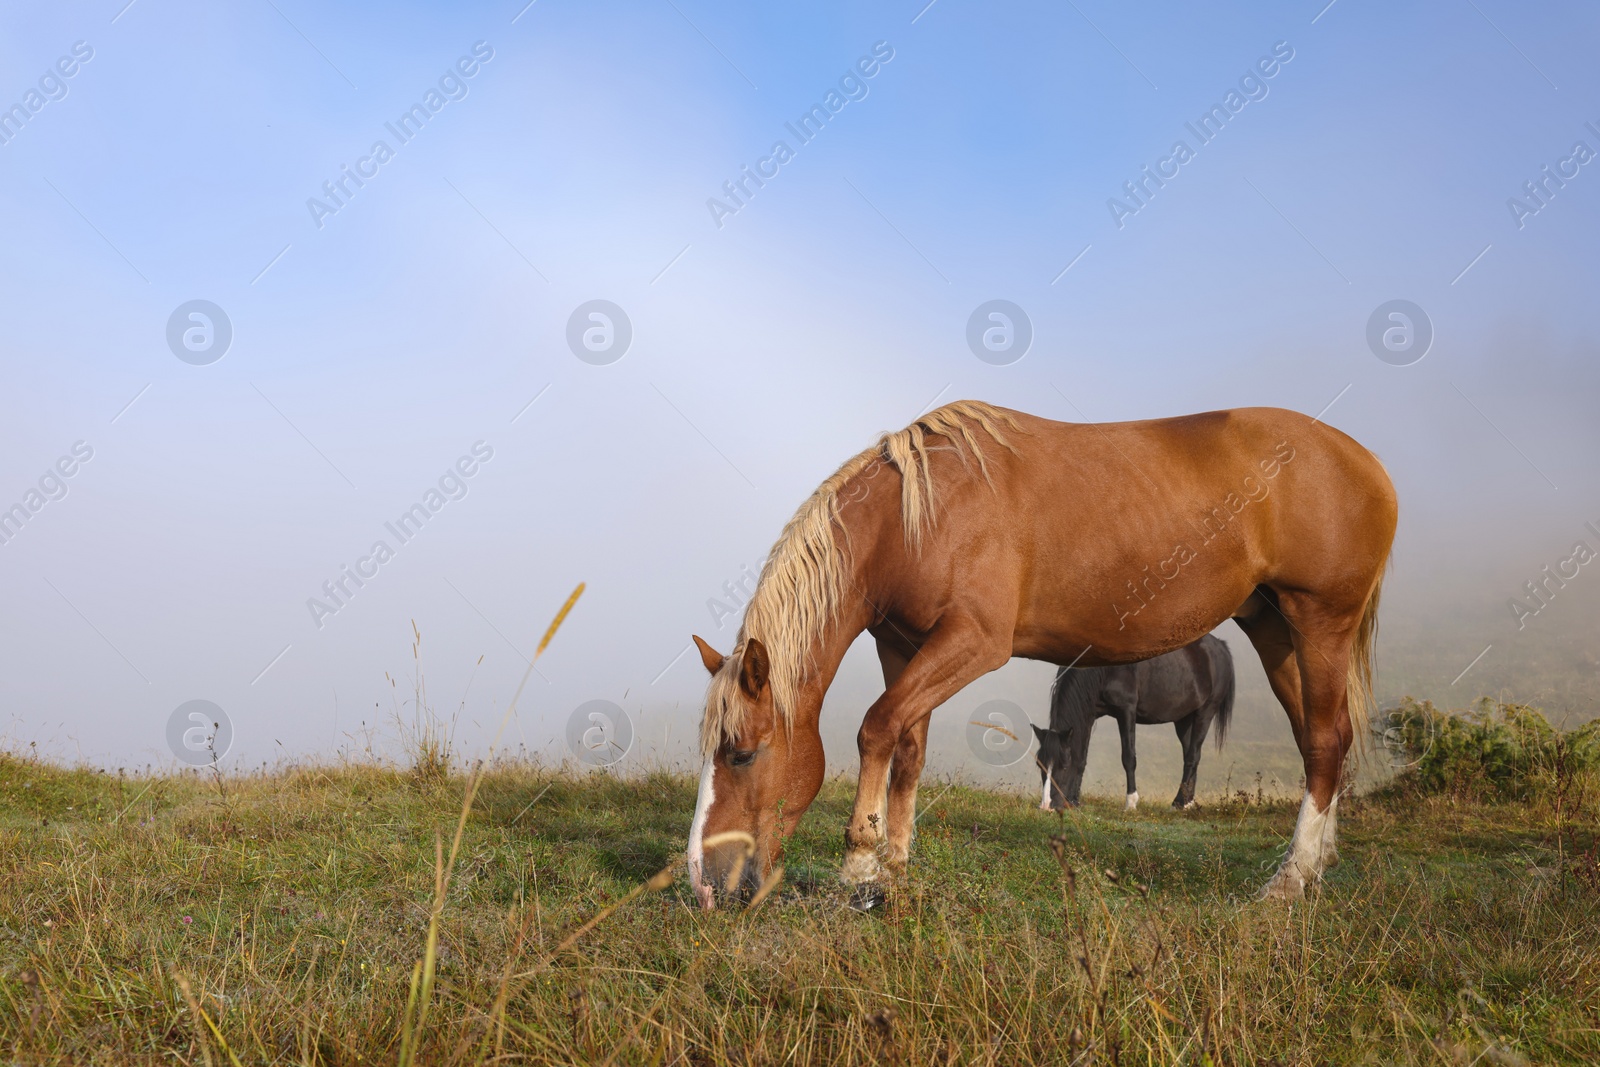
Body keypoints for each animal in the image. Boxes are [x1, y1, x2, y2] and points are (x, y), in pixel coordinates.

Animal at [1036, 639, 1235, 812]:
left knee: (1192, 756)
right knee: (1191, 755)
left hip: (1205, 712)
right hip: (1184, 719)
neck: (1104, 670)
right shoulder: (1089, 714)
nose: (1046, 806)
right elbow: (1081, 758)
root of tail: (1221, 647)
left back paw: (1178, 803)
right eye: (1039, 764)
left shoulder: (1126, 711)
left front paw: (1130, 803)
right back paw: (1187, 801)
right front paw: (1074, 801)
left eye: (1063, 766)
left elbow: (1129, 758)